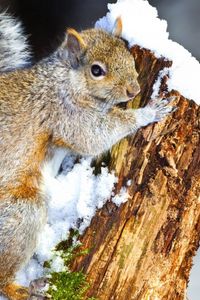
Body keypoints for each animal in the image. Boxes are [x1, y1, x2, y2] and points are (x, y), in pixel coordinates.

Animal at [0, 13, 175, 300]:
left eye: (128, 54)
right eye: (96, 70)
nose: (133, 90)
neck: (65, 79)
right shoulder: (65, 114)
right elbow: (94, 135)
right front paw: (148, 112)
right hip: (20, 213)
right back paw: (26, 289)